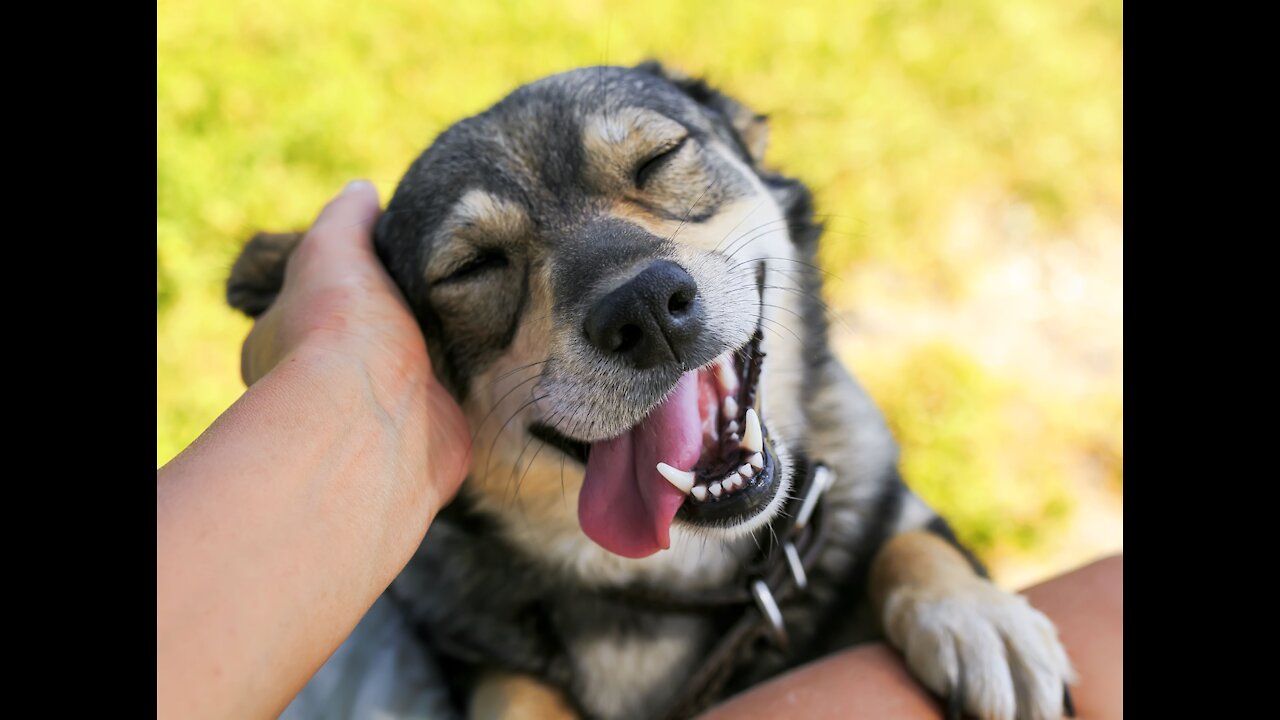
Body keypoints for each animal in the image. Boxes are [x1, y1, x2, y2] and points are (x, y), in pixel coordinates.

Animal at [227, 61, 1070, 717]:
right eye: (473, 267)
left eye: (660, 159)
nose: (644, 310)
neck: (686, 576)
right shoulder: (470, 650)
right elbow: (513, 688)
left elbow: (910, 542)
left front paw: (974, 617)